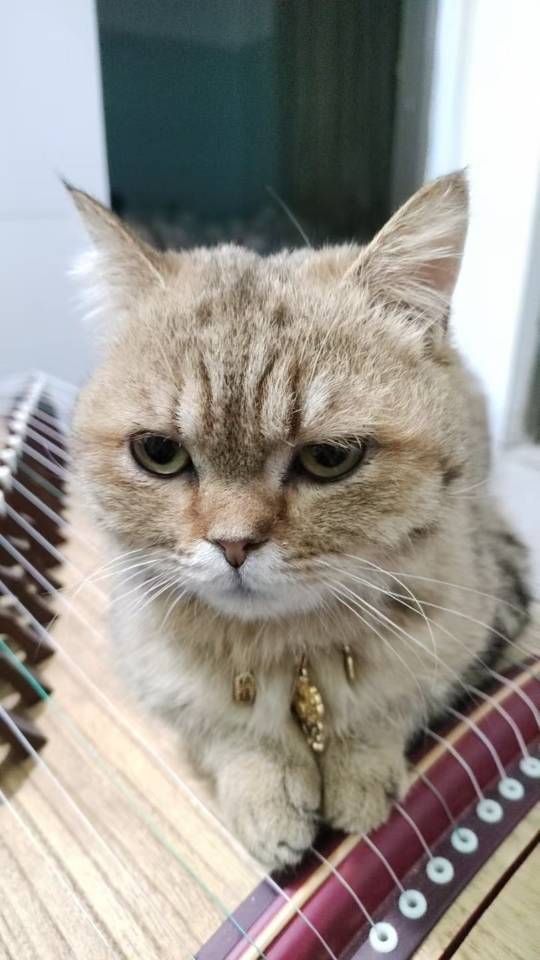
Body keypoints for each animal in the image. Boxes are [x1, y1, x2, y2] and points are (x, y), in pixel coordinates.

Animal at [70, 172, 530, 871]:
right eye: (159, 452)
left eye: (330, 458)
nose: (233, 544)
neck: (293, 655)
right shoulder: (152, 667)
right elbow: (227, 734)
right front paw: (269, 796)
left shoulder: (470, 623)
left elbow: (390, 707)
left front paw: (359, 778)